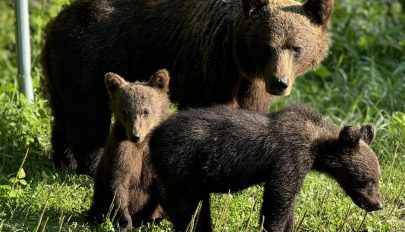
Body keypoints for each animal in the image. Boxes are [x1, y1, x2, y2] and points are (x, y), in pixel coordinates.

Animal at [41, 0, 332, 174]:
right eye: (267, 46)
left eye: (296, 47)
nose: (279, 83)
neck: (238, 60)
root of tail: (57, 19)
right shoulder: (209, 66)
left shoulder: (251, 86)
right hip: (89, 59)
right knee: (88, 116)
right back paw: (89, 165)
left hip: (60, 70)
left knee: (63, 114)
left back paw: (63, 160)